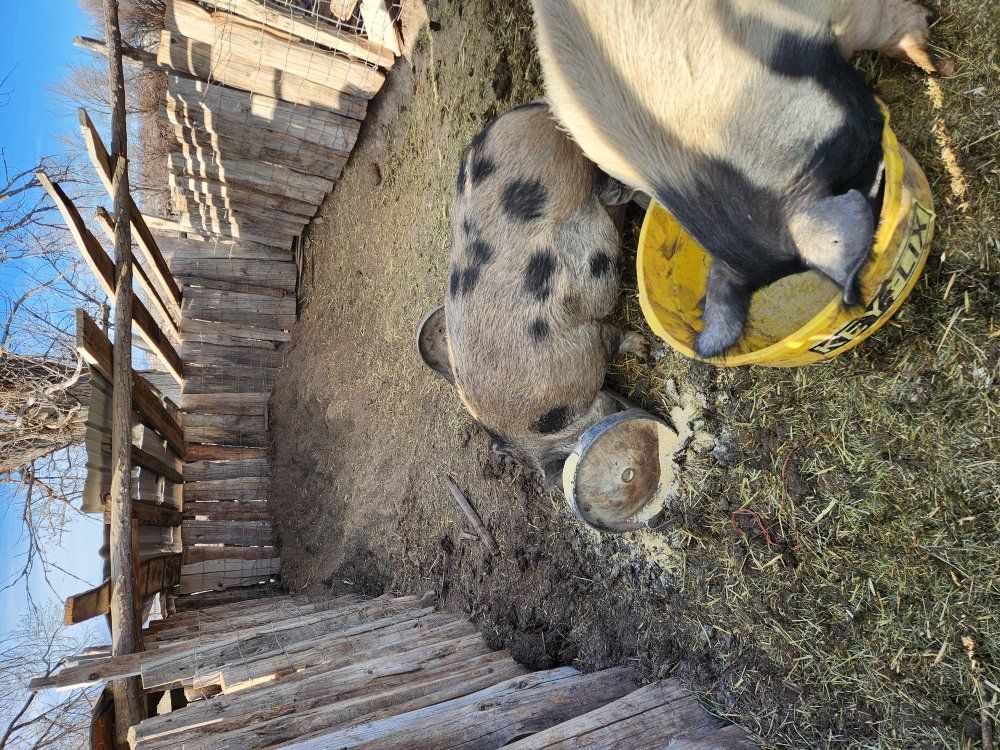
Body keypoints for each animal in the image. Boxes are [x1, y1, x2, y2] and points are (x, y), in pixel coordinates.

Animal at [445, 101, 644, 487]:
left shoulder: (586, 343)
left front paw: (640, 347)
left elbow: (610, 334)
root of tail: (540, 109)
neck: (544, 421)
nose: (551, 479)